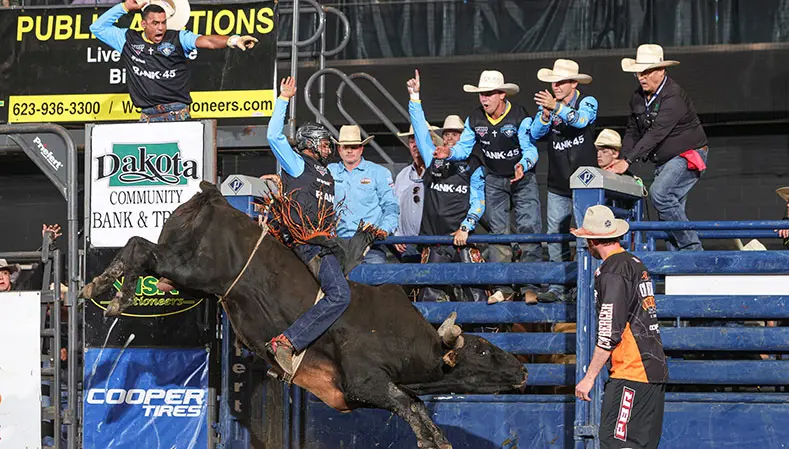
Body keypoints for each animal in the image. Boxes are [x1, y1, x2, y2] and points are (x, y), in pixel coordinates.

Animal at [80, 182, 528, 448]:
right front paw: (433, 439)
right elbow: (410, 405)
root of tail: (215, 197)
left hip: (186, 280)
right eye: (483, 350)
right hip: (194, 269)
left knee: (141, 251)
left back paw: (104, 290)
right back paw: (109, 295)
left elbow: (413, 402)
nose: (523, 370)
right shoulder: (363, 382)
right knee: (139, 248)